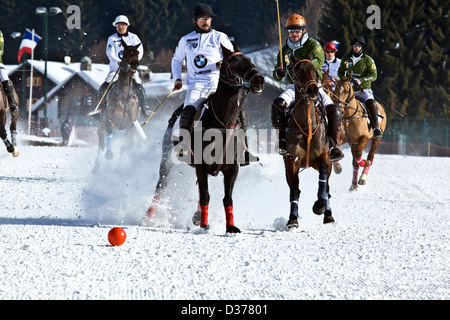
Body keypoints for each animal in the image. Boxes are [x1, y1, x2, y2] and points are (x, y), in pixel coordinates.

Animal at [95, 39, 142, 170]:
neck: (124, 95)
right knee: (101, 143)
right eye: (125, 52)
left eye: (137, 52)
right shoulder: (109, 119)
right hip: (101, 123)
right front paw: (109, 154)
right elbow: (109, 131)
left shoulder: (131, 126)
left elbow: (125, 147)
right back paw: (97, 167)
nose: (134, 65)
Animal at [145, 43, 264, 234]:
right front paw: (204, 226)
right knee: (161, 184)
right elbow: (206, 196)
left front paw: (230, 227)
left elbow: (227, 198)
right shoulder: (201, 165)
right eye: (234, 64)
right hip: (167, 158)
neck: (221, 122)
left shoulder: (232, 168)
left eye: (250, 60)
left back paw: (197, 216)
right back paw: (148, 217)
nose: (259, 81)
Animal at [284, 58, 336, 230]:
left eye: (314, 70)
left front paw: (319, 206)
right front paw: (292, 219)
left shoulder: (324, 156)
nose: (313, 90)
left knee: (327, 187)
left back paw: (328, 214)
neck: (306, 123)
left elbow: (323, 186)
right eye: (298, 71)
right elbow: (294, 190)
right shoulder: (292, 161)